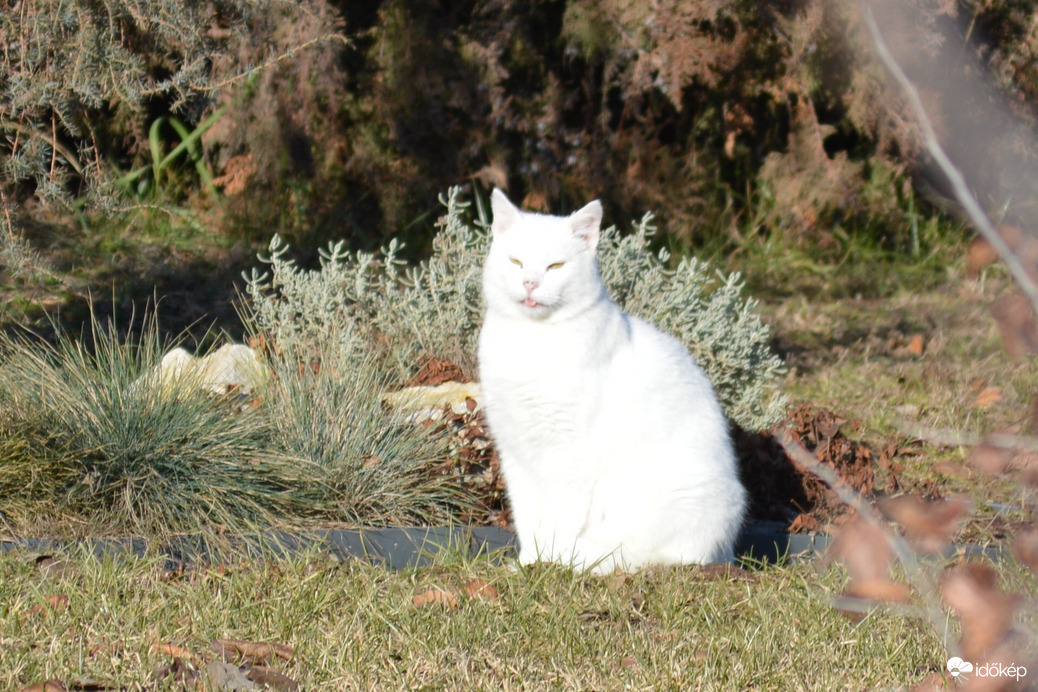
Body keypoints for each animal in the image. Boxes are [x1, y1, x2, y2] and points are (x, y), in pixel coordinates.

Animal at [477, 187, 747, 572]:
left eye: (555, 266)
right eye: (516, 261)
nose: (530, 282)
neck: (531, 339)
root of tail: (726, 554)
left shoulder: (569, 453)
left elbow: (557, 520)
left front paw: (548, 562)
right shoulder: (515, 451)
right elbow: (527, 515)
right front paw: (529, 562)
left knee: (642, 555)